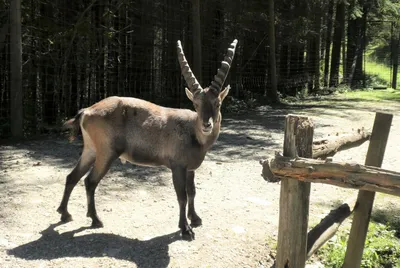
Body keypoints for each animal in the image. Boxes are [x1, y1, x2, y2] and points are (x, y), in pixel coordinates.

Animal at [56, 38, 238, 240]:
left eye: (217, 103)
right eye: (196, 104)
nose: (207, 125)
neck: (193, 133)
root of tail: (86, 111)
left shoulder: (190, 168)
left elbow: (192, 192)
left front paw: (196, 219)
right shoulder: (177, 166)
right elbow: (181, 196)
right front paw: (185, 229)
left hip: (90, 150)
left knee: (72, 176)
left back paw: (65, 213)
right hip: (106, 152)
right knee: (90, 181)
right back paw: (95, 219)